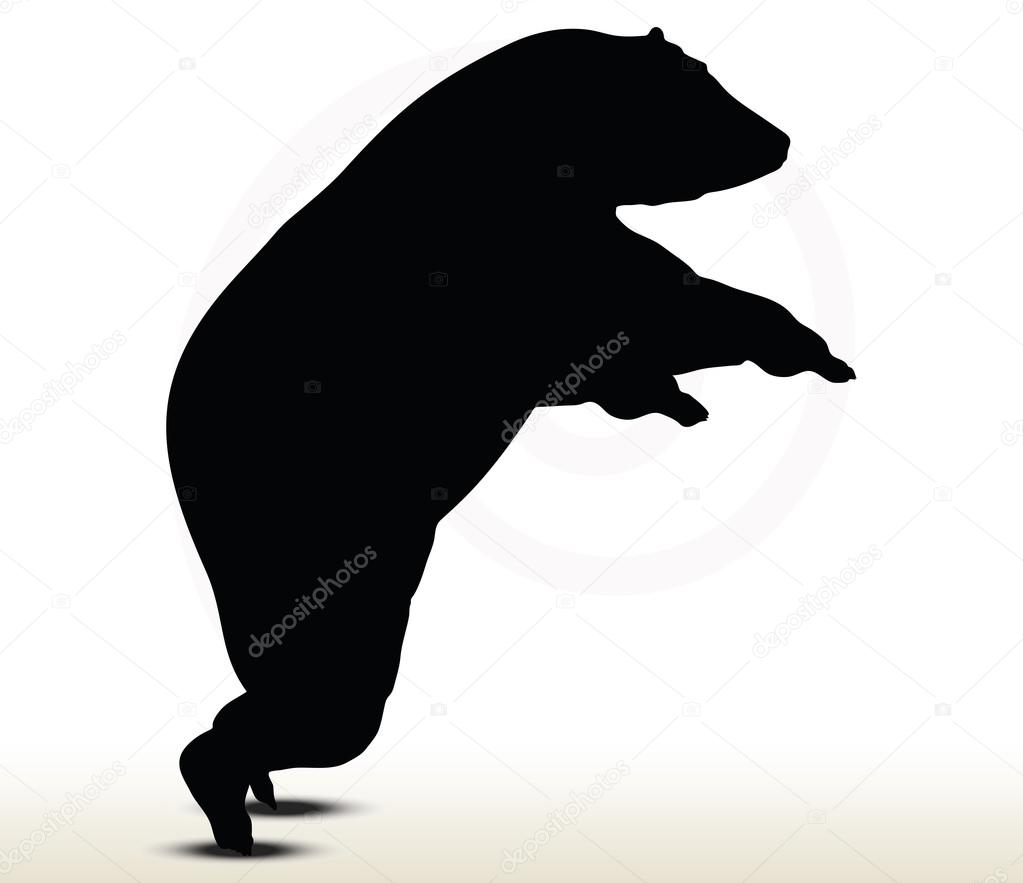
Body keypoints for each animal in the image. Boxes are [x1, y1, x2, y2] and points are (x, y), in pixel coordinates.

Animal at [167, 26, 853, 854]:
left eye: (703, 73)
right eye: (687, 87)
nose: (777, 138)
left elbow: (644, 336)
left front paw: (702, 390)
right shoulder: (552, 271)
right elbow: (664, 314)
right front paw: (795, 357)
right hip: (307, 542)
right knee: (326, 698)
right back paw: (232, 812)